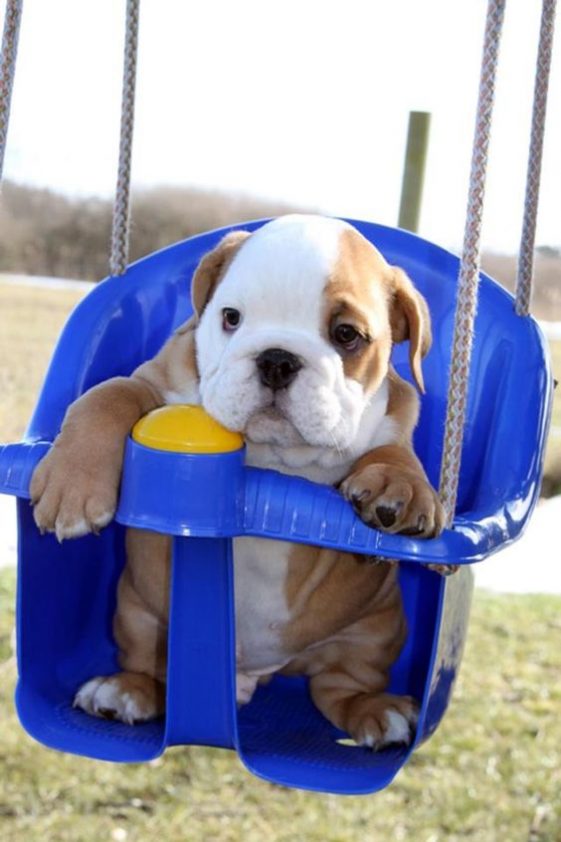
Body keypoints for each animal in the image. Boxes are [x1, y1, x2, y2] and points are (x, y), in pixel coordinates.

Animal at [30, 217, 444, 748]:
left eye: (347, 334)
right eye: (231, 317)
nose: (277, 359)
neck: (275, 454)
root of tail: (251, 675)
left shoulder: (395, 417)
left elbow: (395, 453)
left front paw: (403, 489)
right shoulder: (156, 383)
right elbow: (109, 395)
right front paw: (72, 486)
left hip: (377, 628)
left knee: (340, 685)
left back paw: (377, 711)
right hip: (136, 610)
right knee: (152, 667)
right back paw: (124, 691)